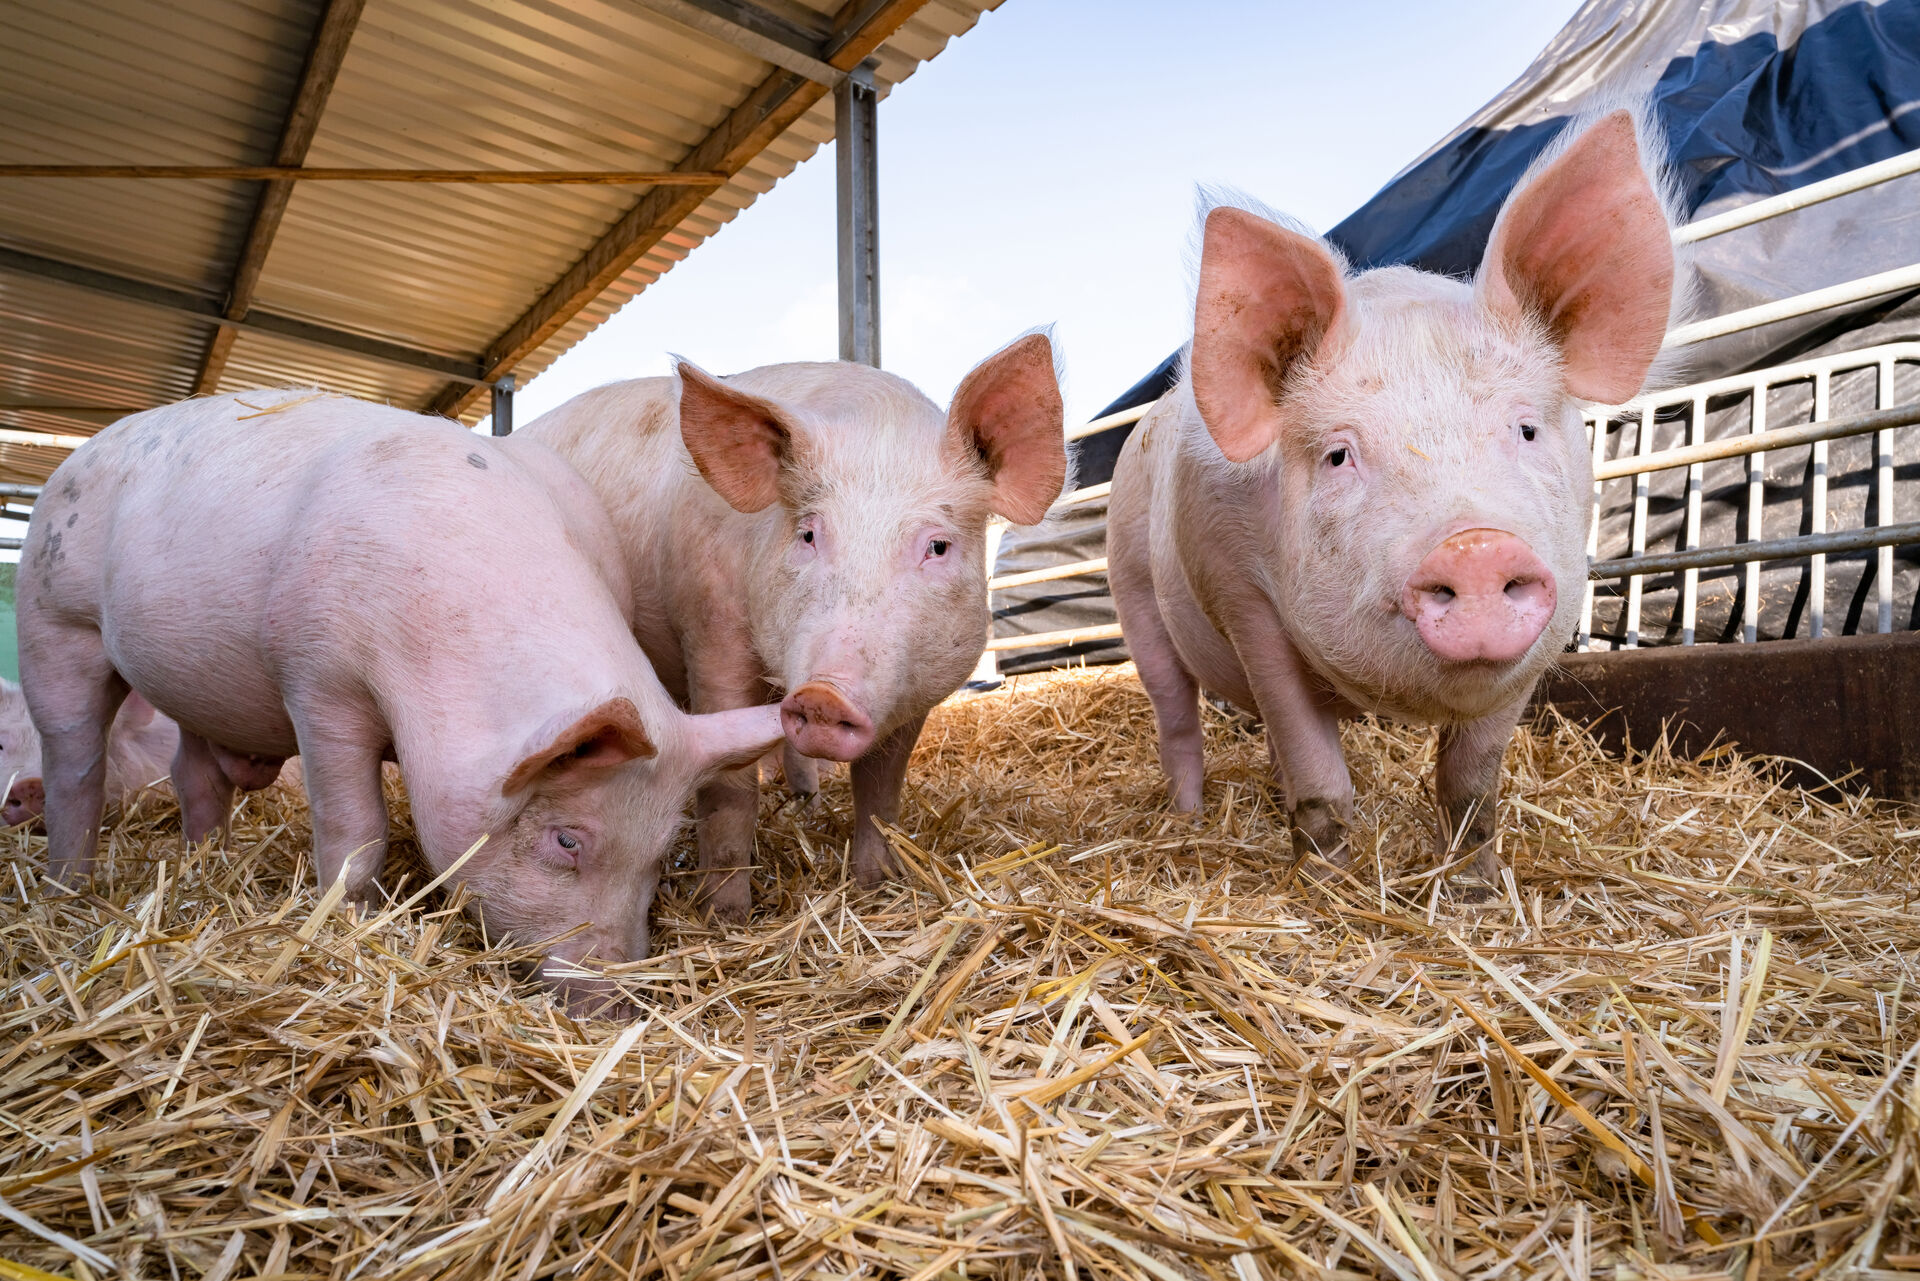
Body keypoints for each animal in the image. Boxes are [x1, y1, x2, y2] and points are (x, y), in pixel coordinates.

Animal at [18, 391, 783, 1014]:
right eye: (568, 840)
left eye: (663, 853)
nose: (617, 1002)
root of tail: (79, 452)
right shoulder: (317, 679)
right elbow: (355, 827)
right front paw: (352, 922)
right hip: (54, 618)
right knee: (73, 762)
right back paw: (66, 890)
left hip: (197, 687)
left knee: (192, 772)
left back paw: (205, 858)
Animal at [522, 338, 1067, 921]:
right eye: (807, 534)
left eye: (937, 546)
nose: (825, 696)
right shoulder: (710, 631)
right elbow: (731, 791)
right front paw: (726, 918)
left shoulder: (917, 687)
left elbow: (881, 789)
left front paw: (877, 887)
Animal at [1113, 110, 1681, 883]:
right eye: (1338, 455)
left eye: (1527, 428)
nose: (1475, 546)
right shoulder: (1244, 598)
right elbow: (1323, 781)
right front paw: (1328, 889)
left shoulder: (1536, 645)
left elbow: (1470, 785)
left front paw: (1475, 889)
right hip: (1133, 594)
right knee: (1177, 718)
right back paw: (1187, 821)